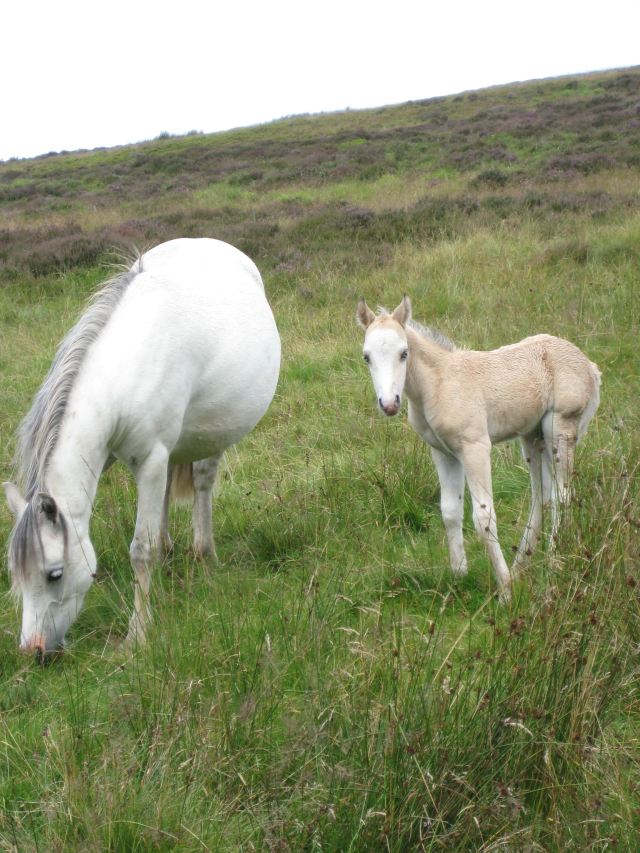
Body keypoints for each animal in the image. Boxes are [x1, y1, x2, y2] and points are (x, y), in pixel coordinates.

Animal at [4, 240, 280, 660]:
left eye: (54, 574)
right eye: (16, 575)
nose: (33, 651)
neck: (125, 367)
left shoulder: (151, 459)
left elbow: (140, 549)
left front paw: (138, 634)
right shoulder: (127, 458)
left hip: (214, 434)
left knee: (202, 484)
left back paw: (204, 553)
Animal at [358, 296, 604, 604]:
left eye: (404, 353)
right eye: (366, 357)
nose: (389, 404)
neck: (439, 384)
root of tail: (589, 366)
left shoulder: (475, 448)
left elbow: (483, 517)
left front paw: (506, 592)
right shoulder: (444, 453)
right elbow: (450, 511)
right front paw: (459, 576)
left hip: (560, 429)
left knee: (562, 495)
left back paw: (554, 561)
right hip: (532, 437)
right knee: (542, 498)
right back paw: (522, 565)